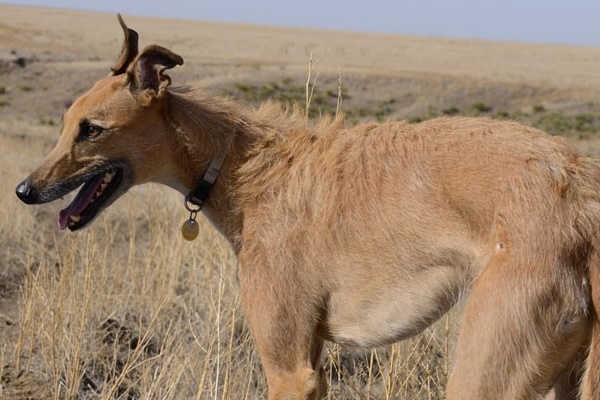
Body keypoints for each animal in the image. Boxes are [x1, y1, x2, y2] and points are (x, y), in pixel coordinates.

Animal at [15, 16, 600, 400]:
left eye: (91, 130)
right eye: (65, 123)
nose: (23, 190)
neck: (241, 165)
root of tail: (580, 194)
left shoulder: (289, 369)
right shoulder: (312, 361)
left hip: (484, 372)